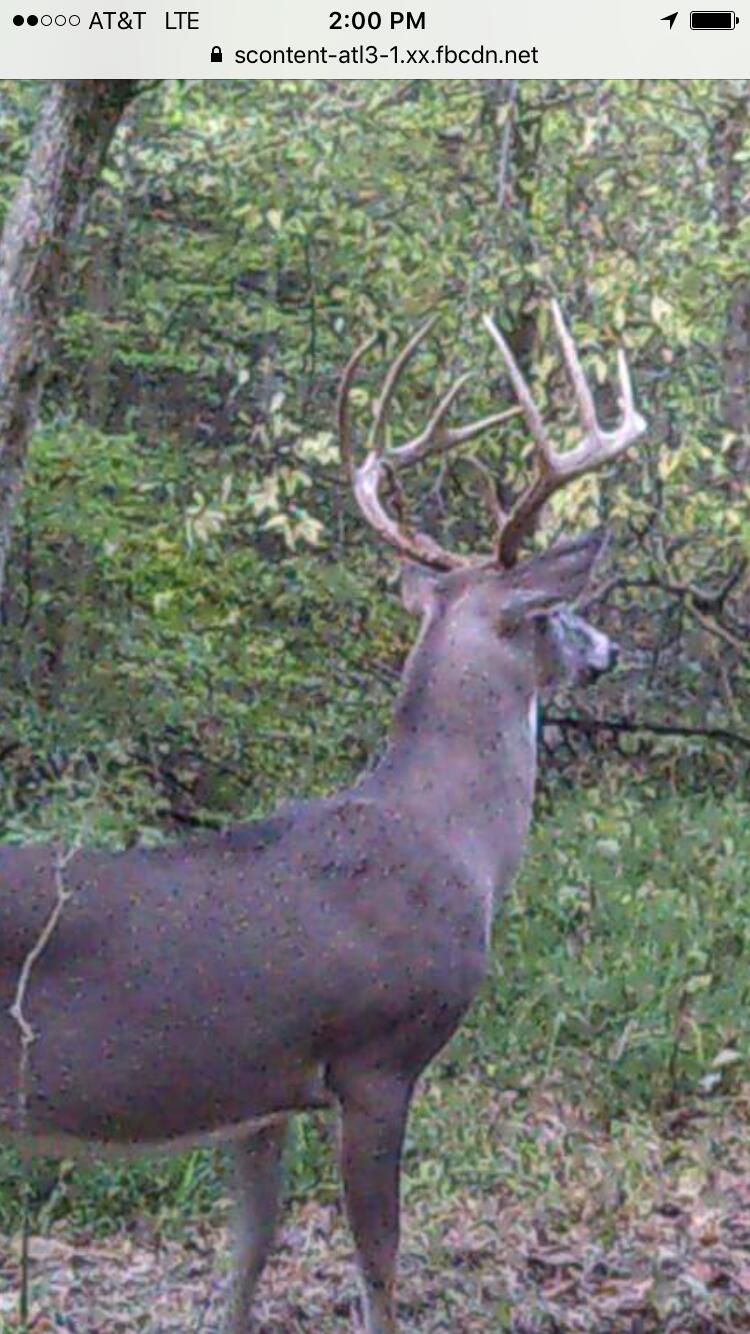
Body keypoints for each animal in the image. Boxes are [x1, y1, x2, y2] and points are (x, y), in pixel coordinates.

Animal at [0, 301, 645, 1333]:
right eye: (554, 613)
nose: (609, 650)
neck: (453, 846)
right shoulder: (376, 1058)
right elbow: (378, 1264)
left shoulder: (260, 1093)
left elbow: (246, 1259)